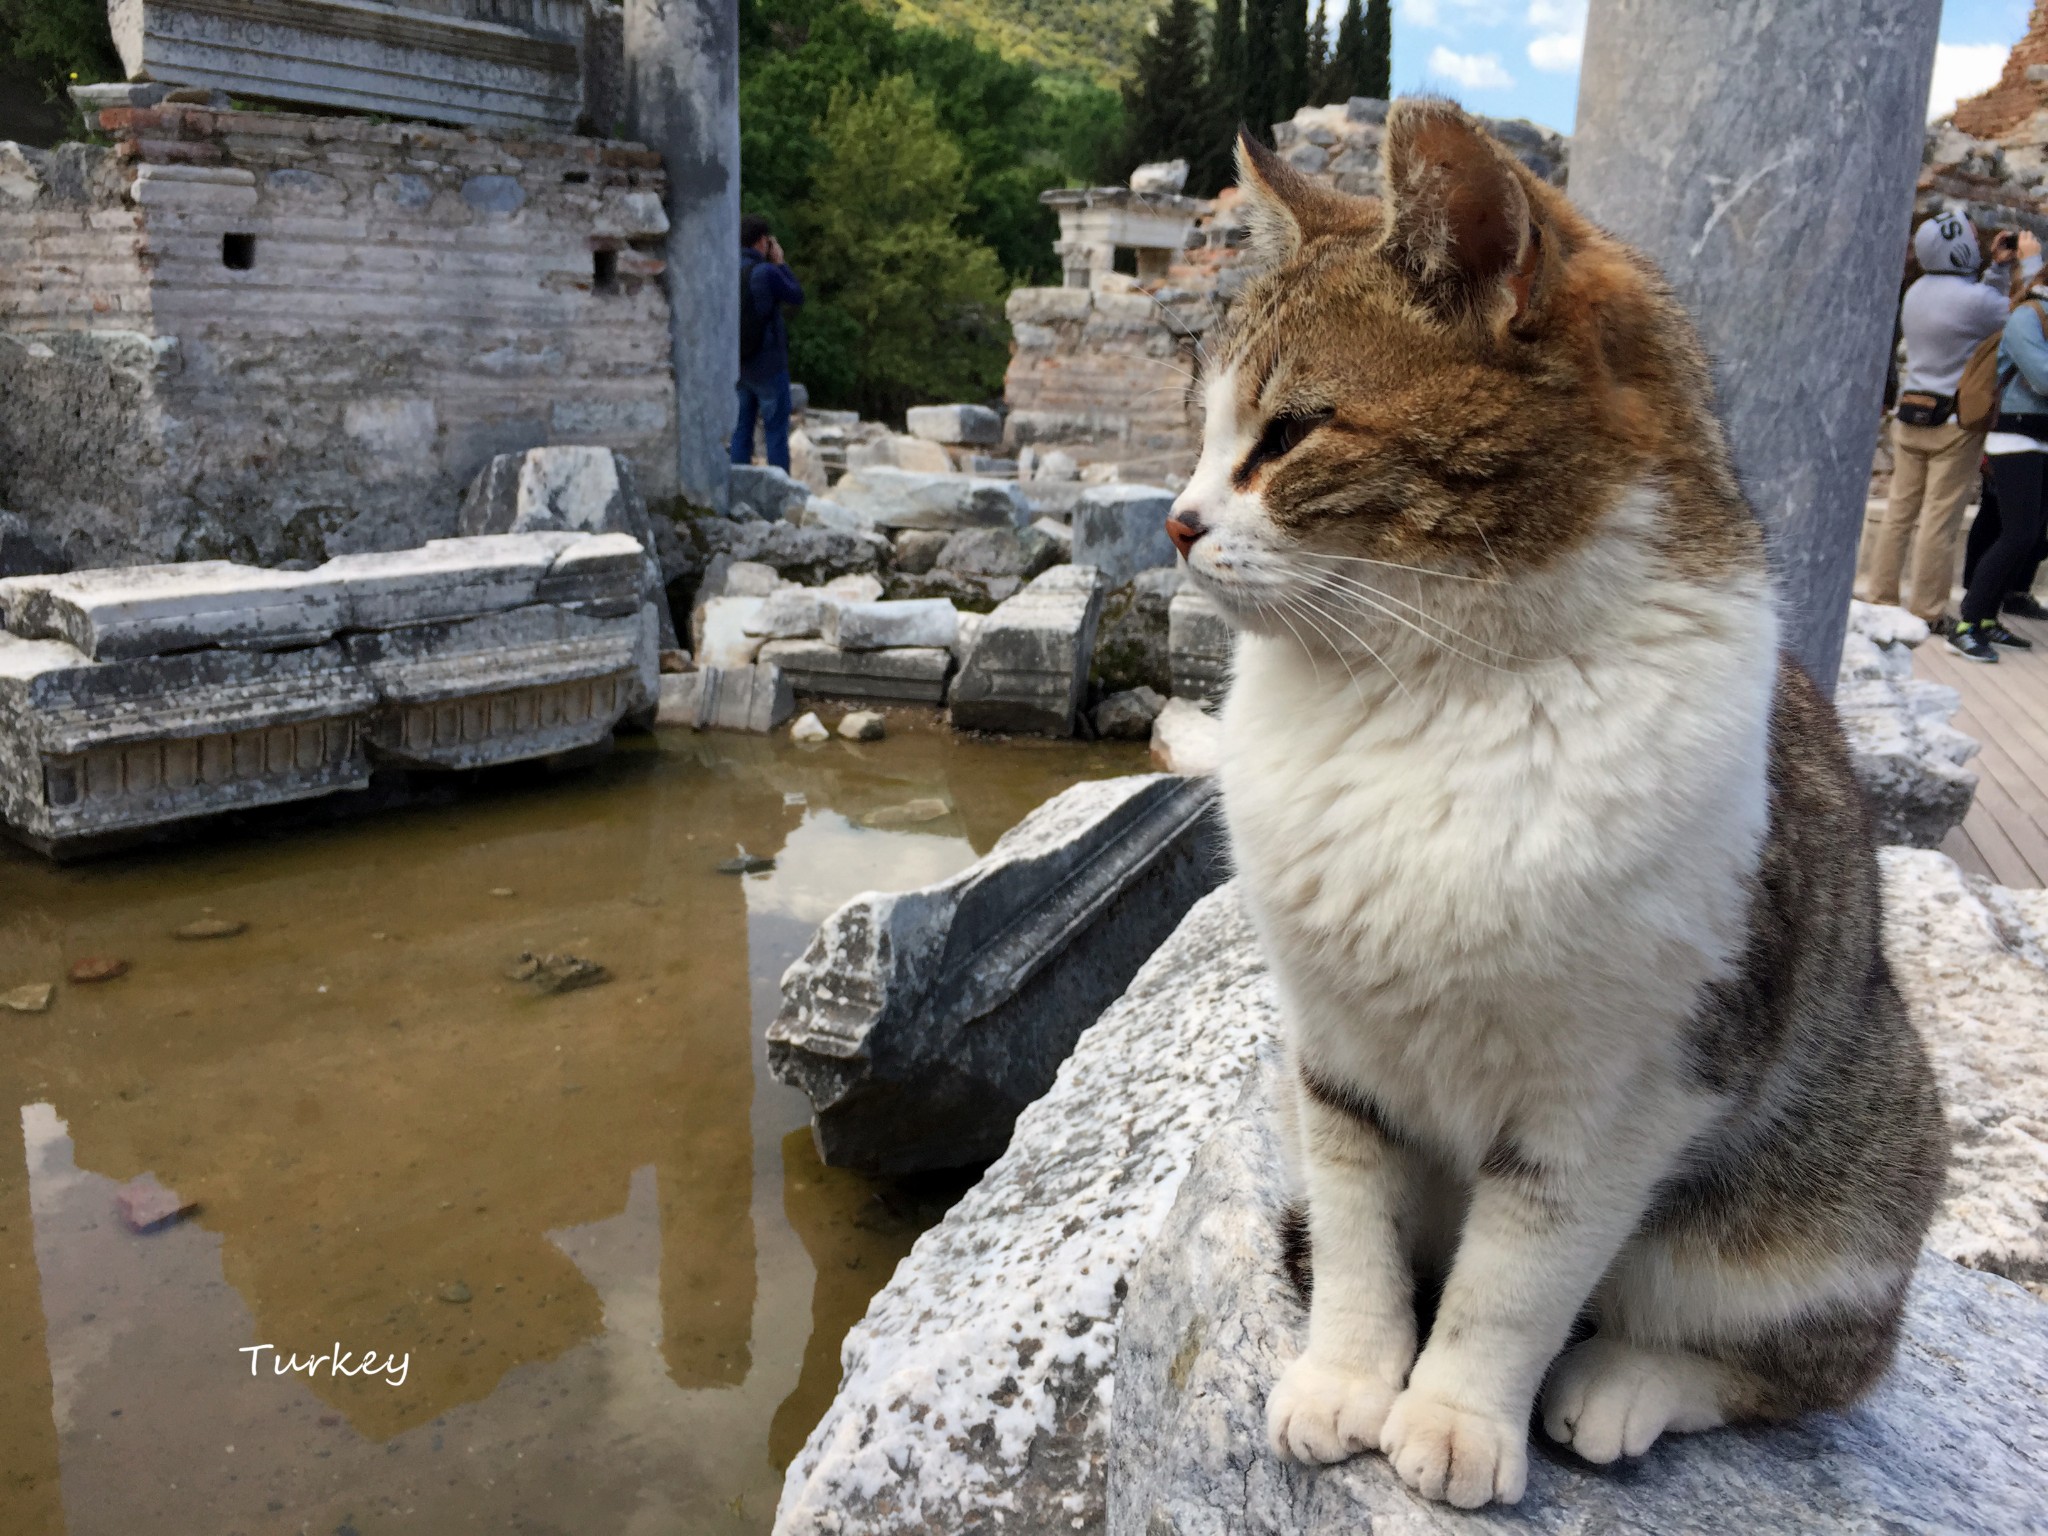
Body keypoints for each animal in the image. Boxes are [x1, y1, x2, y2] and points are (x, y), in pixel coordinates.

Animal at [1171, 102, 1949, 1507]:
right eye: (1202, 430)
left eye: (1289, 433)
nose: (1174, 522)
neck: (1425, 696)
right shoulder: (1331, 1049)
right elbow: (1361, 1234)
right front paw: (1348, 1376)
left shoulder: (1624, 1094)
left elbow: (1514, 1279)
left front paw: (1454, 1417)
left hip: (1818, 1207)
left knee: (1807, 1362)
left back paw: (1622, 1384)